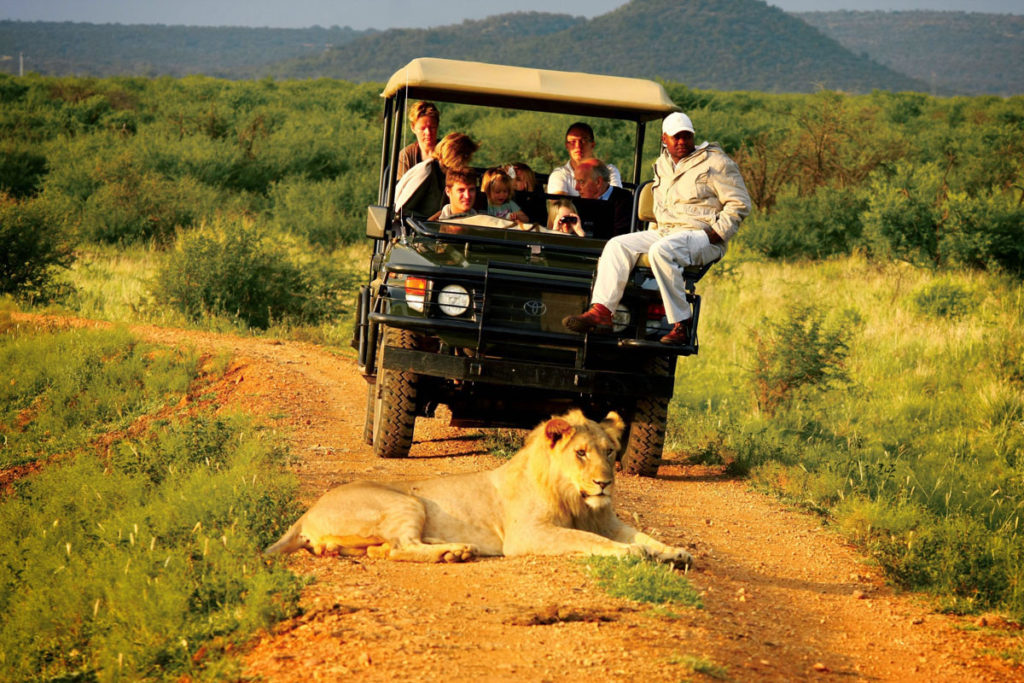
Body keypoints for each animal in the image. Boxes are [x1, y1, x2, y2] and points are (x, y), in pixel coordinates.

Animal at [264, 409, 692, 569]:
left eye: (610, 452)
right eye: (581, 453)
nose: (605, 482)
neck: (578, 500)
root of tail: (306, 512)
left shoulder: (608, 521)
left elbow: (644, 535)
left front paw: (675, 552)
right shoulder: (528, 535)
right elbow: (592, 541)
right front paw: (632, 553)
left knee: (384, 550)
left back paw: (454, 549)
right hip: (407, 503)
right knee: (402, 547)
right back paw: (455, 552)